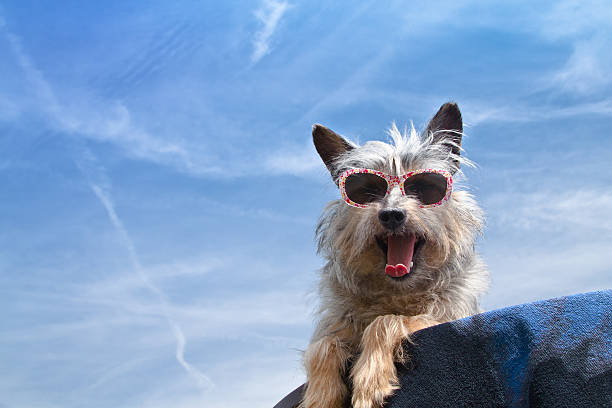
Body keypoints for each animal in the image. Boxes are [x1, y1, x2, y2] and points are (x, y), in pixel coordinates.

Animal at [304, 103, 490, 408]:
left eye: (423, 188)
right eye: (367, 191)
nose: (391, 214)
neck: (396, 292)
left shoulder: (446, 318)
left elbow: (384, 322)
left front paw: (370, 380)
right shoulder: (337, 323)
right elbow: (322, 345)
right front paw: (320, 395)